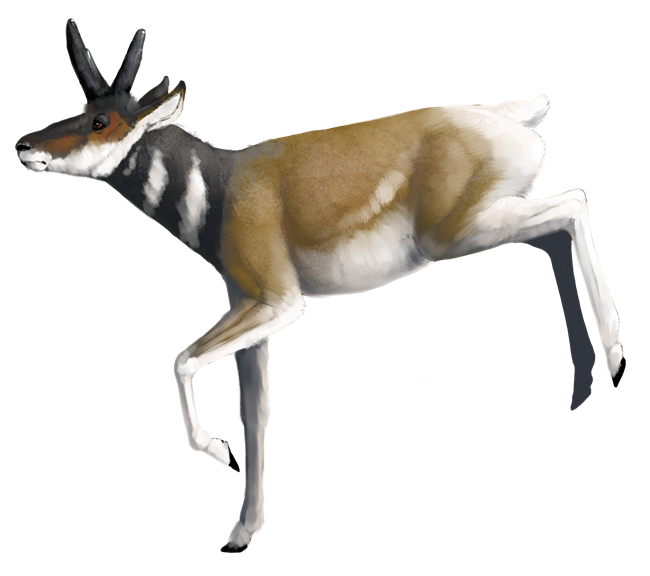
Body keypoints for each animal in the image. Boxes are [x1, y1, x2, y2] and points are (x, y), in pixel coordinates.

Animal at [16, 18, 623, 553]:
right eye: (79, 110)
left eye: (101, 121)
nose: (24, 146)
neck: (222, 186)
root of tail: (512, 117)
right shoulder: (249, 310)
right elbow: (256, 412)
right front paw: (244, 530)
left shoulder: (281, 305)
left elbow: (181, 360)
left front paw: (215, 451)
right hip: (480, 223)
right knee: (558, 226)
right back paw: (586, 380)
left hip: (453, 235)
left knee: (574, 204)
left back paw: (615, 357)